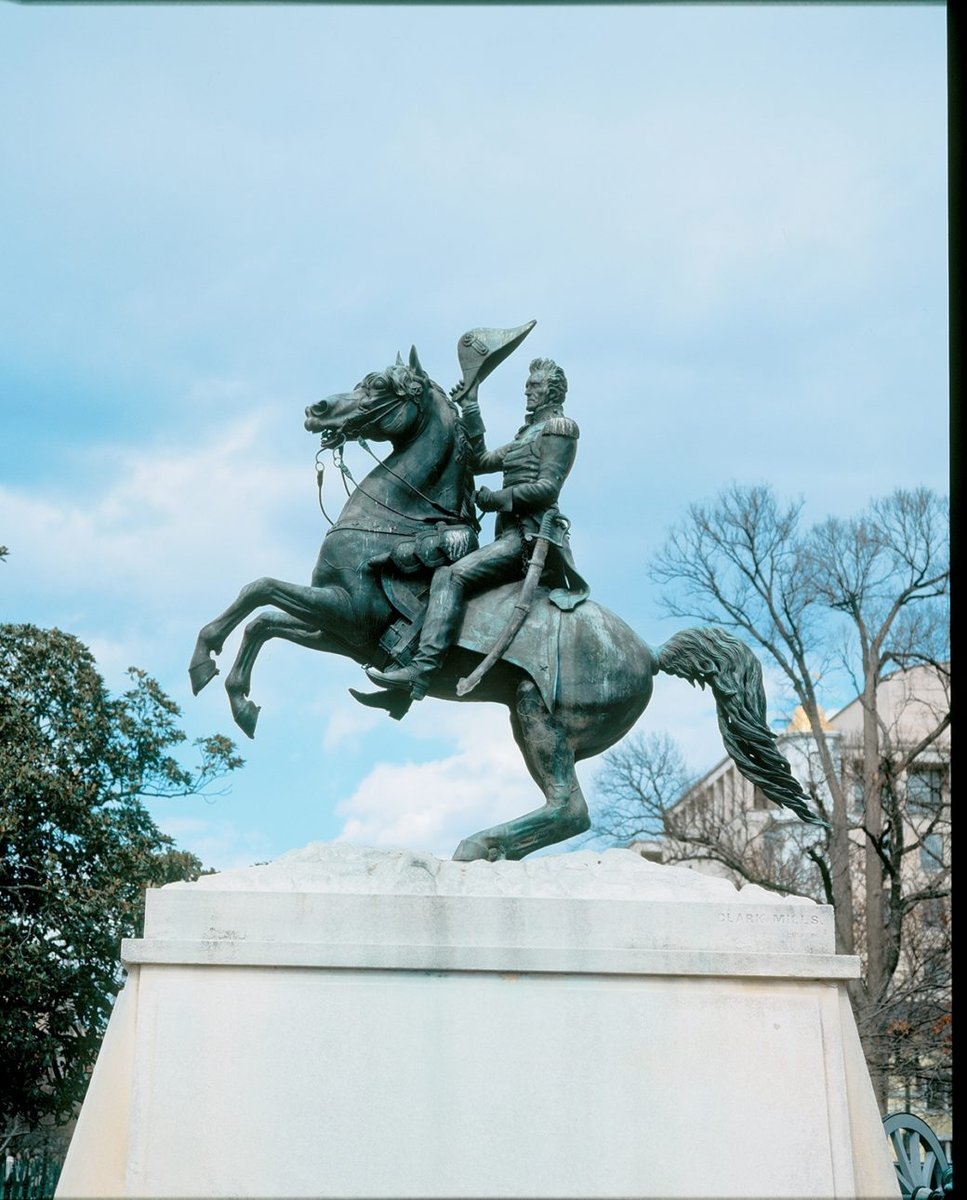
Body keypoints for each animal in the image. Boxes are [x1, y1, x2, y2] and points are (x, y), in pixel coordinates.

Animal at [189, 343, 825, 859]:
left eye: (379, 384)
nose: (316, 408)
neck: (395, 521)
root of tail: (649, 653)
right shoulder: (341, 633)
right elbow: (264, 618)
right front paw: (236, 696)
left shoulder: (346, 610)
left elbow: (258, 593)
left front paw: (208, 666)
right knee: (564, 809)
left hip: (539, 715)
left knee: (571, 808)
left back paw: (477, 844)